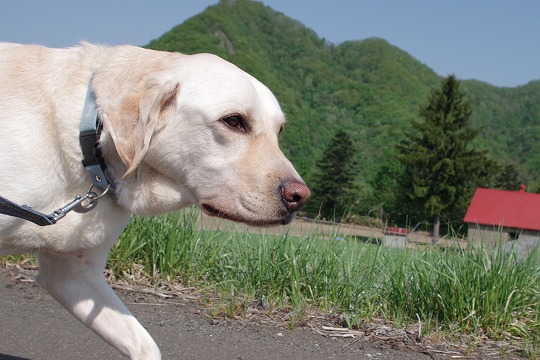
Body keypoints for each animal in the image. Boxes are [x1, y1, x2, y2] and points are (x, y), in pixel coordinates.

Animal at [0, 43, 310, 360]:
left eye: (279, 130)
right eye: (234, 121)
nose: (300, 198)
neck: (89, 143)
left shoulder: (73, 271)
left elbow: (145, 344)